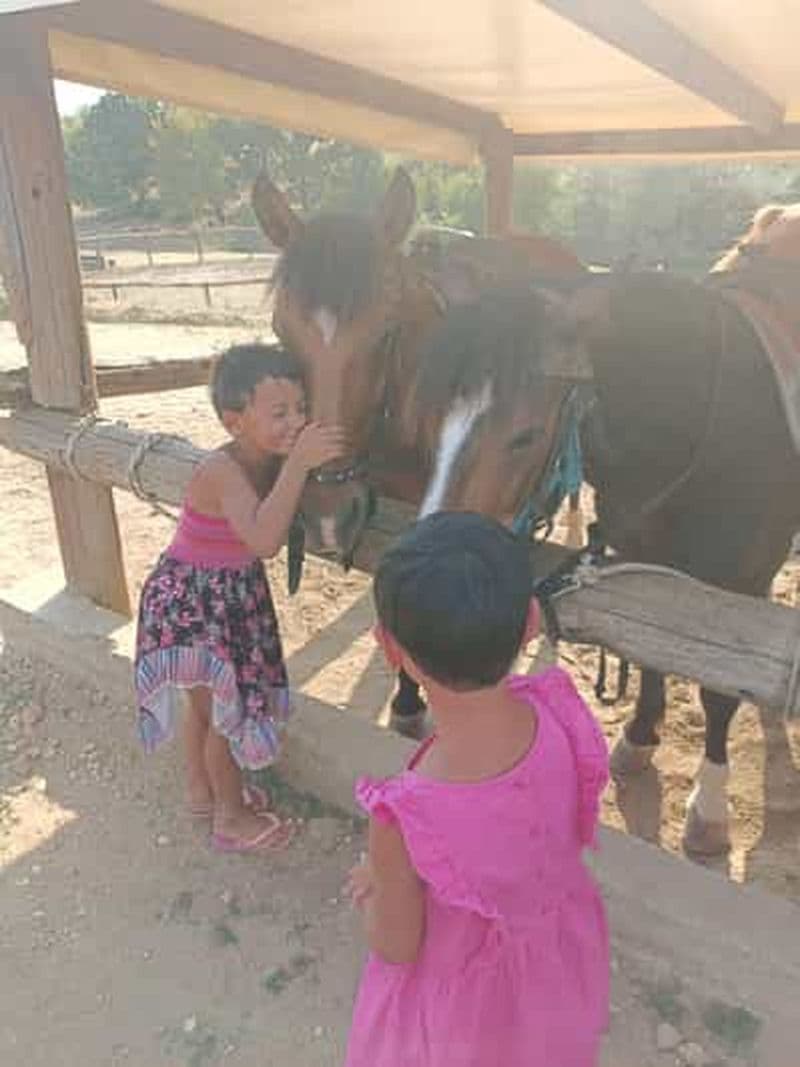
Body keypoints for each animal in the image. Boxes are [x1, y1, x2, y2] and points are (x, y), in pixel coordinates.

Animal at [404, 203, 800, 857]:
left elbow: (719, 688)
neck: (703, 427)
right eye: (438, 416)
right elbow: (650, 655)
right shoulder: (643, 559)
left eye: (525, 435)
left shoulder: (736, 583)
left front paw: (709, 809)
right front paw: (638, 740)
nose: (417, 584)